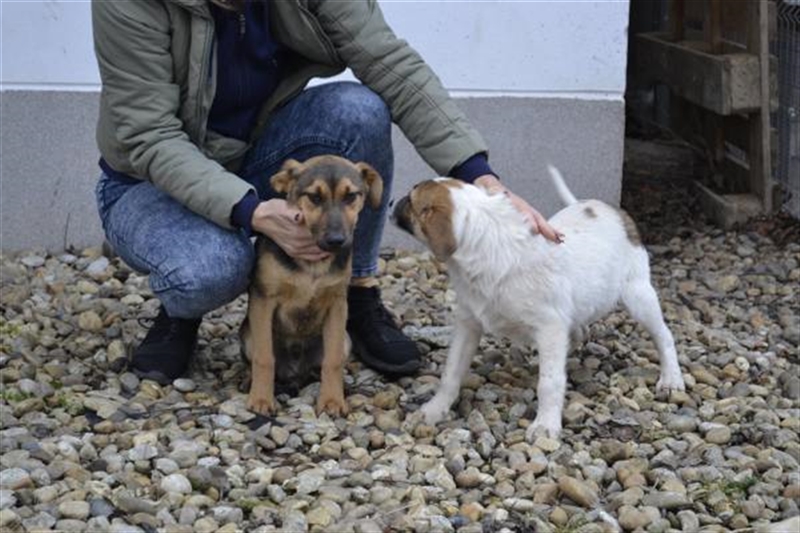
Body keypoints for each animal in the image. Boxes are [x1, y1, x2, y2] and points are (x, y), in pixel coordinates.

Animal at [240, 155, 382, 417]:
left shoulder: (337, 305)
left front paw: (332, 400)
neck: (313, 264)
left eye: (351, 196)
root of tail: (296, 373)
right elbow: (264, 358)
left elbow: (333, 361)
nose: (336, 241)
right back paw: (249, 381)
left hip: (346, 339)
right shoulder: (263, 299)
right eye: (314, 197)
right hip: (248, 335)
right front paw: (261, 399)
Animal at [392, 166, 685, 439]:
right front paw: (433, 410)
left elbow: (550, 382)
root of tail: (605, 208)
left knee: (664, 335)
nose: (393, 201)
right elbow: (451, 372)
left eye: (411, 198)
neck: (487, 246)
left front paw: (545, 425)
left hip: (638, 294)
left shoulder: (550, 327)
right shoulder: (469, 322)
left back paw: (671, 378)